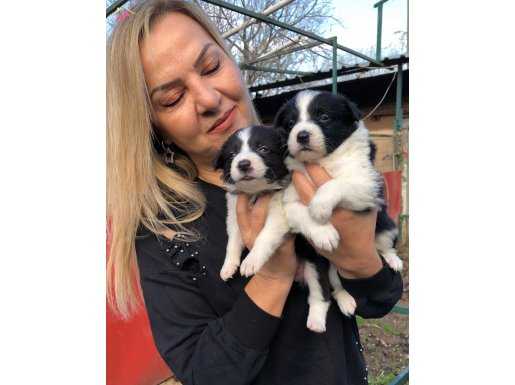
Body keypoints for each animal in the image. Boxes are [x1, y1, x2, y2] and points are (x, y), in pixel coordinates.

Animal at [214, 124, 350, 332]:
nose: (243, 164)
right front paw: (228, 266)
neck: (256, 192)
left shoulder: (279, 215)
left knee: (323, 294)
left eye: (263, 149)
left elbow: (264, 237)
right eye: (232, 155)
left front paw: (252, 261)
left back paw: (317, 320)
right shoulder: (234, 215)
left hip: (314, 264)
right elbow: (233, 242)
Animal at [276, 90, 406, 284]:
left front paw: (319, 207)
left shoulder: (368, 184)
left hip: (387, 227)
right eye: (291, 123)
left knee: (385, 247)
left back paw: (394, 260)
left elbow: (337, 183)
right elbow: (302, 213)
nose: (302, 135)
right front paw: (324, 233)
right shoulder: (290, 200)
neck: (322, 160)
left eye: (324, 117)